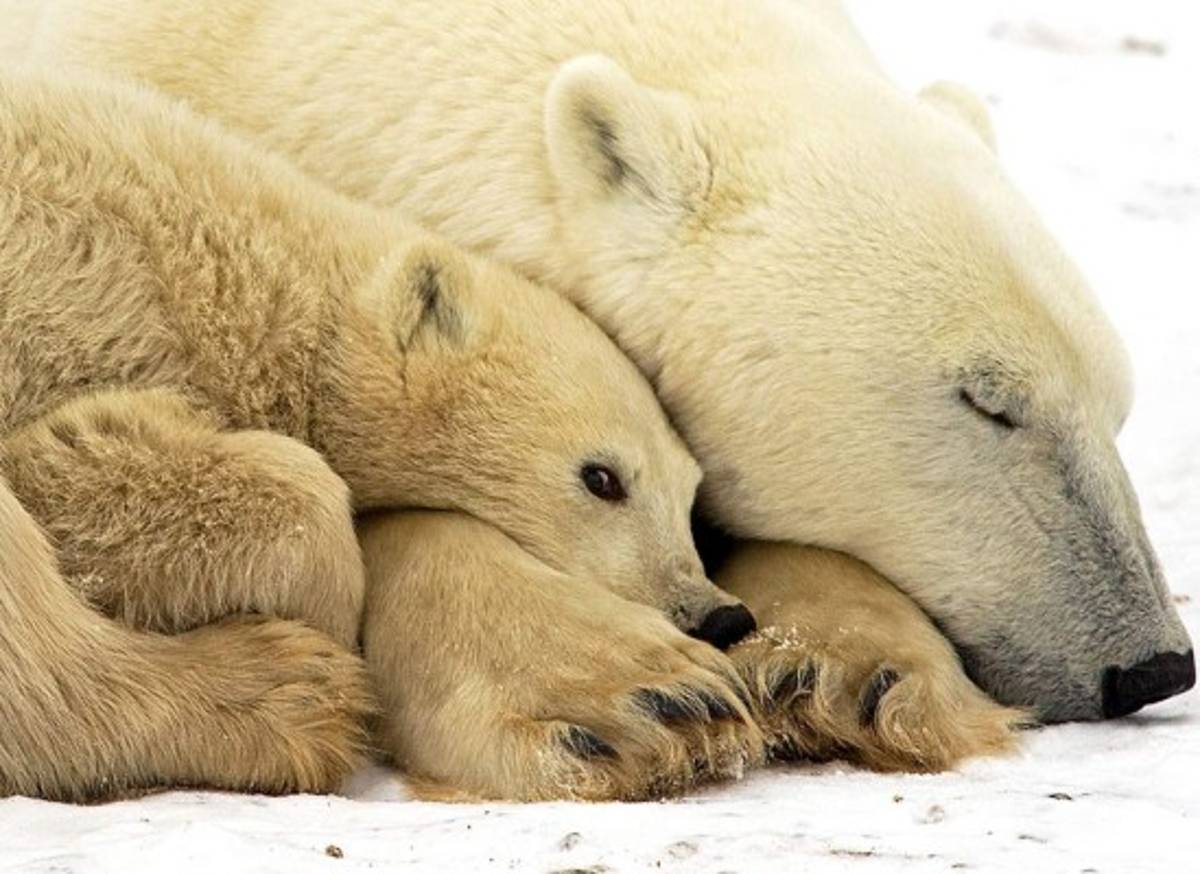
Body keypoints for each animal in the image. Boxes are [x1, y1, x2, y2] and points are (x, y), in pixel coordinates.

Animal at [0, 70, 762, 802]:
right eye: (601, 477)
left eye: (691, 494)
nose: (714, 615)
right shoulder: (97, 321)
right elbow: (76, 466)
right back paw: (284, 694)